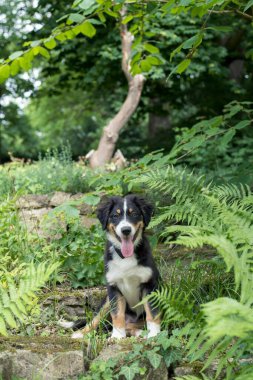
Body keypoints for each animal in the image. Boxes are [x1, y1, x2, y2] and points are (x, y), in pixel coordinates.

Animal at [59, 196, 160, 338]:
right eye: (115, 216)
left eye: (134, 214)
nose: (126, 230)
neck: (125, 258)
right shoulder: (114, 288)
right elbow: (117, 314)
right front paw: (117, 337)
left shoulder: (150, 285)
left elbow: (152, 312)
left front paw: (155, 335)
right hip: (106, 301)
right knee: (95, 320)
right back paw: (80, 334)